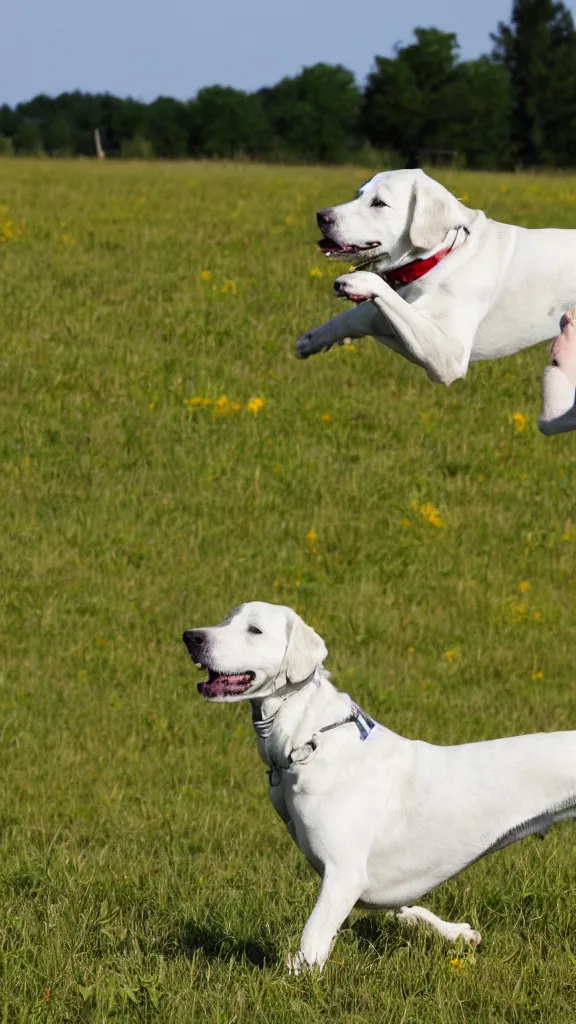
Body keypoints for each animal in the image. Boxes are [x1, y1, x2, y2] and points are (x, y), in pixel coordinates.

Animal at [181, 602, 573, 970]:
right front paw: (457, 933)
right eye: (225, 619)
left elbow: (312, 941)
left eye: (255, 630)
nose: (190, 637)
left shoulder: (343, 875)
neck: (308, 740)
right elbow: (406, 911)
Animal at [295, 169, 576, 434]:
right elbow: (360, 315)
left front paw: (358, 284)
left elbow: (377, 296)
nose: (321, 216)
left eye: (378, 203)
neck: (443, 256)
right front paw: (315, 339)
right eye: (359, 195)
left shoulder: (448, 356)